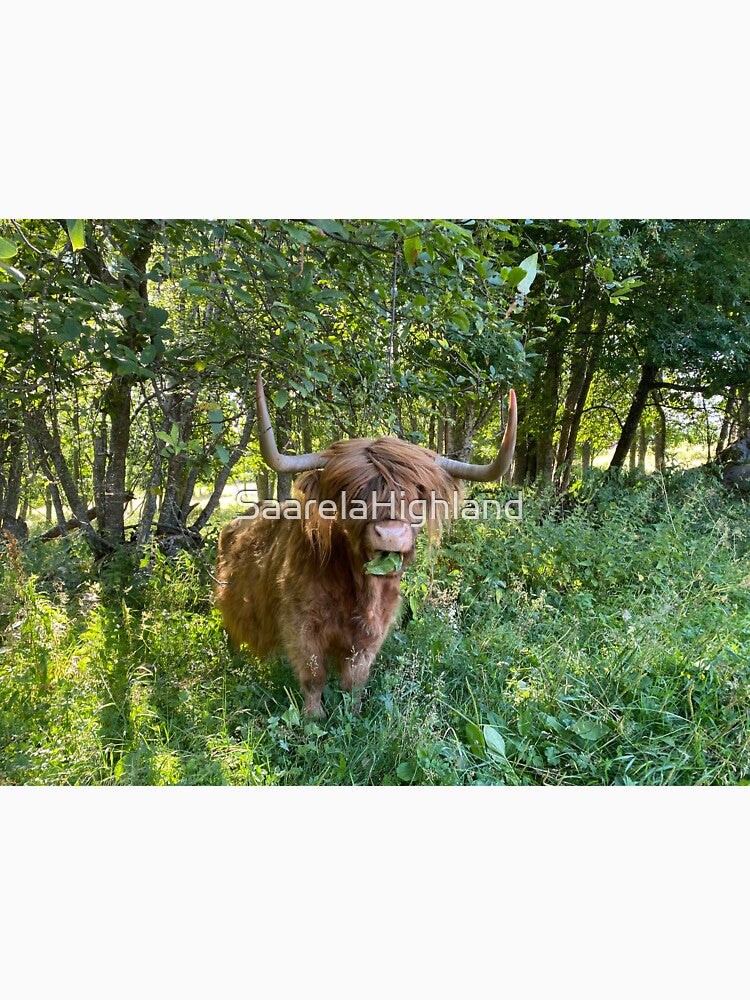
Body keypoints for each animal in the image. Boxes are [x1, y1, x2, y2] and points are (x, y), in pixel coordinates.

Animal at [215, 374, 517, 718]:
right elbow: (313, 676)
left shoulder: (374, 632)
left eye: (418, 493)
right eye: (352, 494)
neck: (359, 591)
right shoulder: (300, 624)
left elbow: (355, 679)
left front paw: (353, 713)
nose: (390, 534)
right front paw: (313, 718)